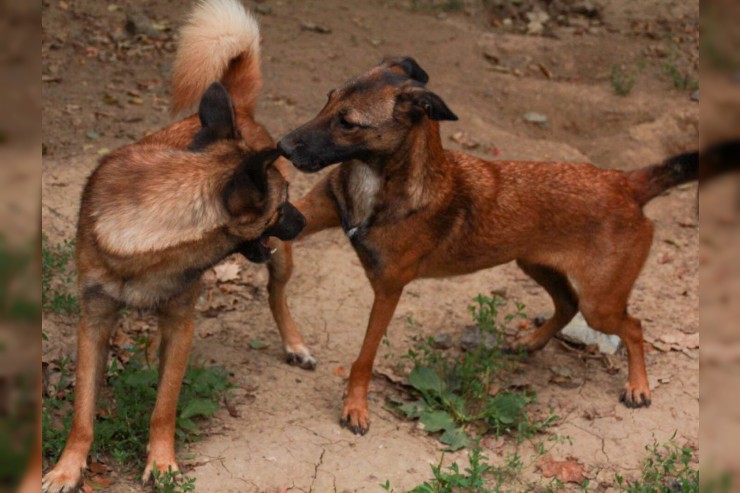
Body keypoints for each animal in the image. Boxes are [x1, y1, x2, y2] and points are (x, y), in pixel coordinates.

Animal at [274, 58, 700, 434]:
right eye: (327, 99)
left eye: (347, 122)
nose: (281, 146)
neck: (379, 183)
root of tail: (625, 182)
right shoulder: (306, 216)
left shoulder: (388, 291)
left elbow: (364, 357)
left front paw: (355, 407)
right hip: (535, 264)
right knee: (567, 304)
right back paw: (531, 342)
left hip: (601, 303)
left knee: (633, 326)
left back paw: (638, 386)